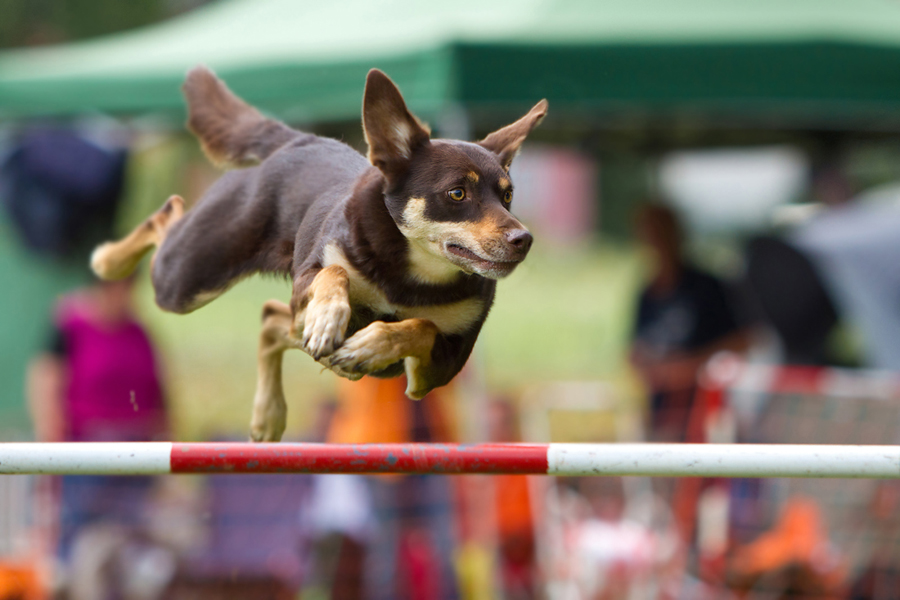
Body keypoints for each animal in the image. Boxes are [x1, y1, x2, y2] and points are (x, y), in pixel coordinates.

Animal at [91, 67, 544, 440]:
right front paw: (330, 316)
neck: (410, 276)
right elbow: (335, 274)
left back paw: (269, 415)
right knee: (167, 214)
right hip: (186, 278)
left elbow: (420, 326)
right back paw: (109, 259)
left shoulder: (435, 372)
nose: (523, 239)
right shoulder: (313, 276)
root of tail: (298, 138)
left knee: (269, 317)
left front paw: (367, 346)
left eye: (507, 195)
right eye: (457, 193)